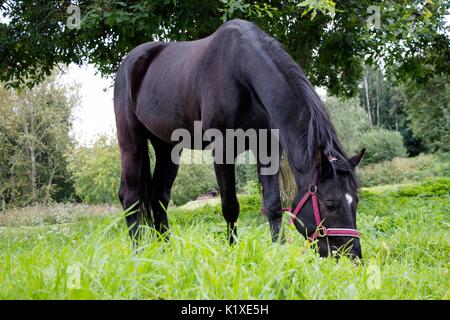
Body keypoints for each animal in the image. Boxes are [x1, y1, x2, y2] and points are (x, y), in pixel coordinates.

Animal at [113, 18, 366, 258]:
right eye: (331, 204)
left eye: (356, 200)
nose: (352, 256)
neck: (242, 70)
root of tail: (130, 61)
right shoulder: (223, 150)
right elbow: (230, 207)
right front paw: (233, 253)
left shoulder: (267, 149)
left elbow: (273, 205)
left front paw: (279, 253)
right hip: (131, 141)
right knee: (131, 197)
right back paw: (139, 253)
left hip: (167, 146)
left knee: (159, 197)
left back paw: (165, 252)